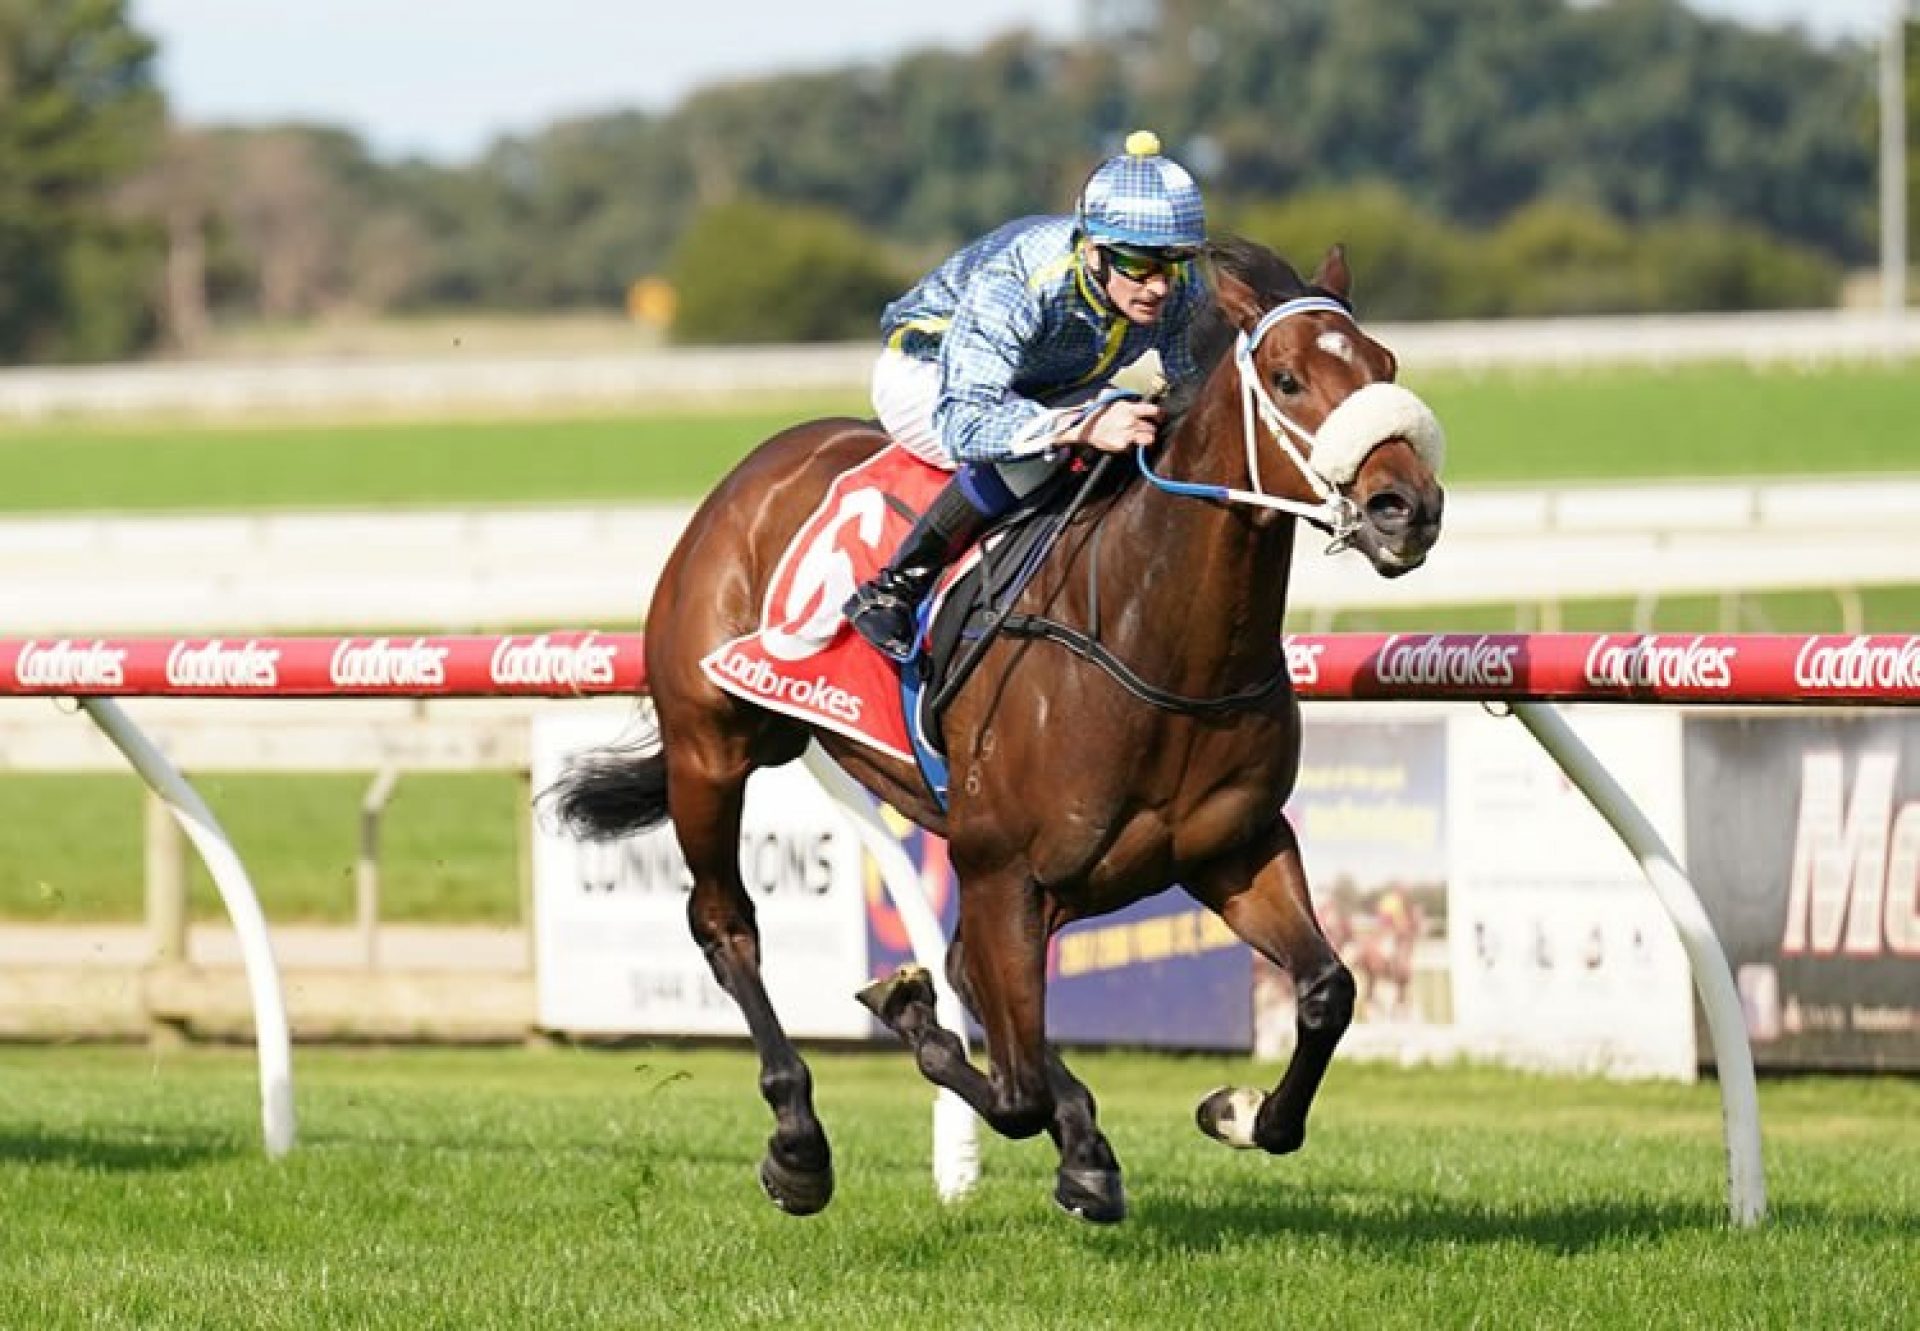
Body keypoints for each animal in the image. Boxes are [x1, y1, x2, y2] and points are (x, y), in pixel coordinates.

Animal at [541, 233, 1443, 1221]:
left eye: (1385, 367)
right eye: (1286, 378)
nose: (1408, 508)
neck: (1154, 637)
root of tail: (752, 471)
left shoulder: (1228, 847)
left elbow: (1326, 991)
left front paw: (1234, 1111)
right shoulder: (1001, 865)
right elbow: (1012, 1090)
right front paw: (914, 1020)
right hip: (714, 747)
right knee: (726, 923)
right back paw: (799, 1139)